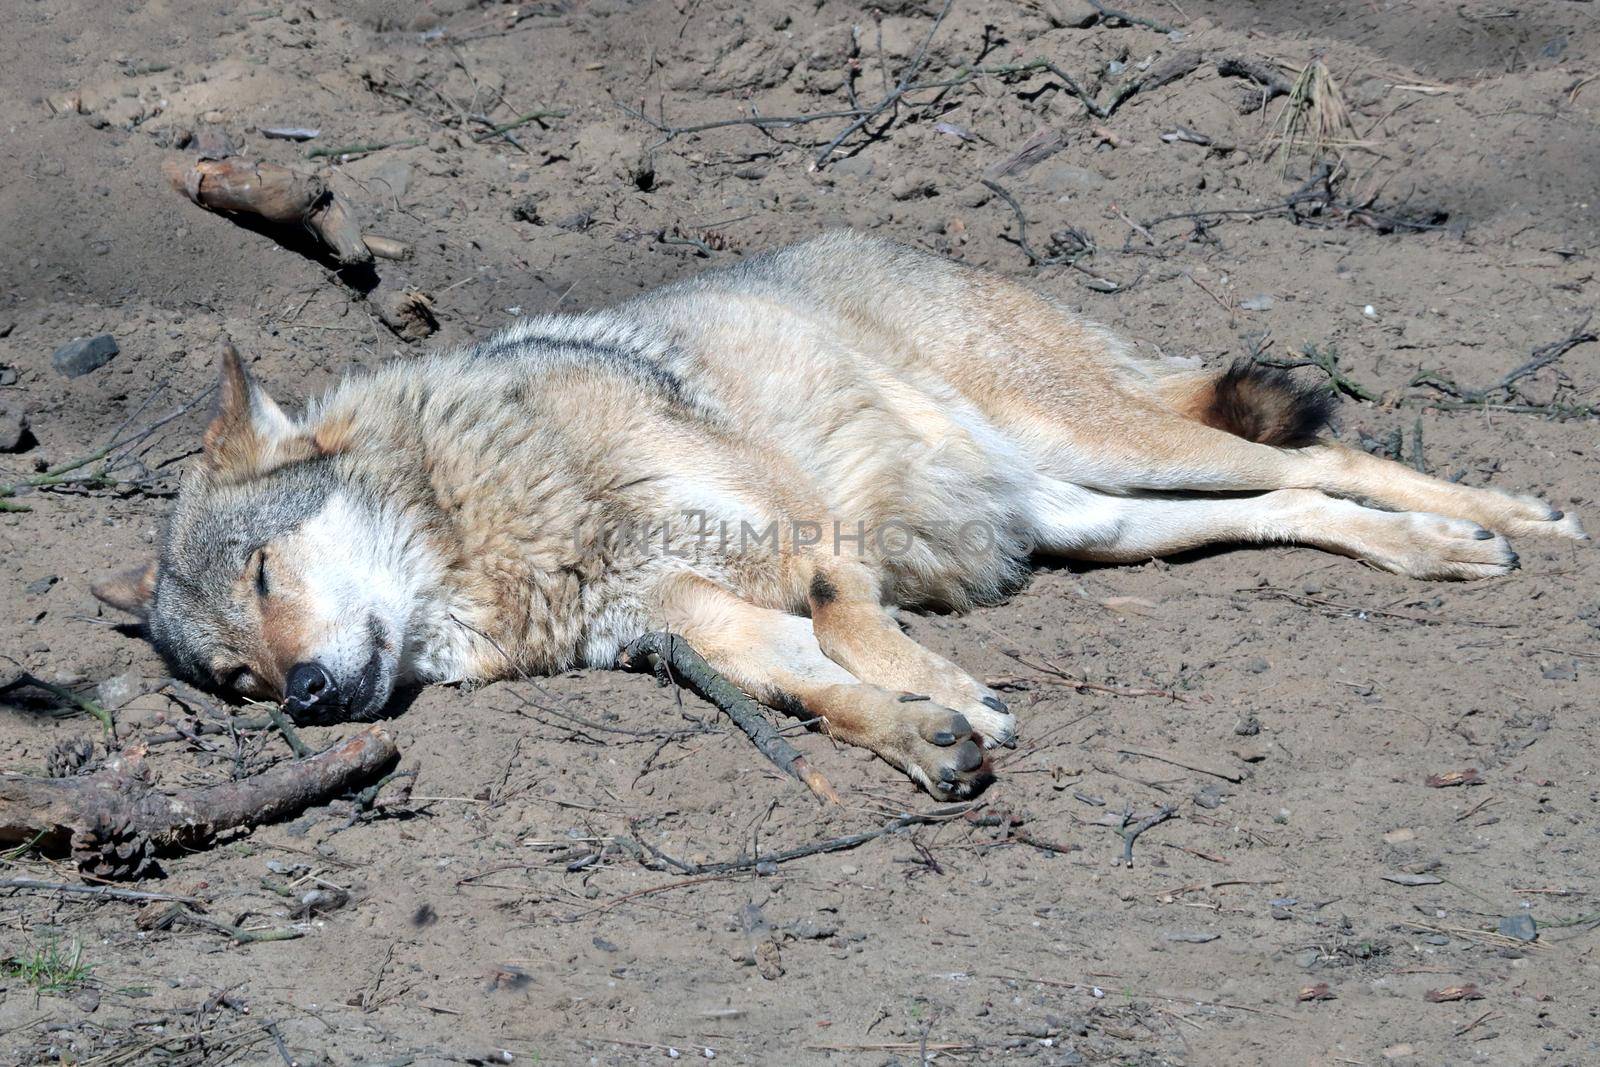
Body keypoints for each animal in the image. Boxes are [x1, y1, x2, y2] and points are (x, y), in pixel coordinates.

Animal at [90, 233, 1587, 799]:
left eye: (267, 570)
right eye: (236, 676)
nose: (305, 699)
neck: (500, 522)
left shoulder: (794, 529)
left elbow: (850, 623)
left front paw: (950, 694)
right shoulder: (686, 624)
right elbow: (818, 688)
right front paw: (926, 732)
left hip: (1113, 442)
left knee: (1342, 456)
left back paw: (1501, 519)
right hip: (1100, 519)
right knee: (1296, 497)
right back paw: (1432, 551)